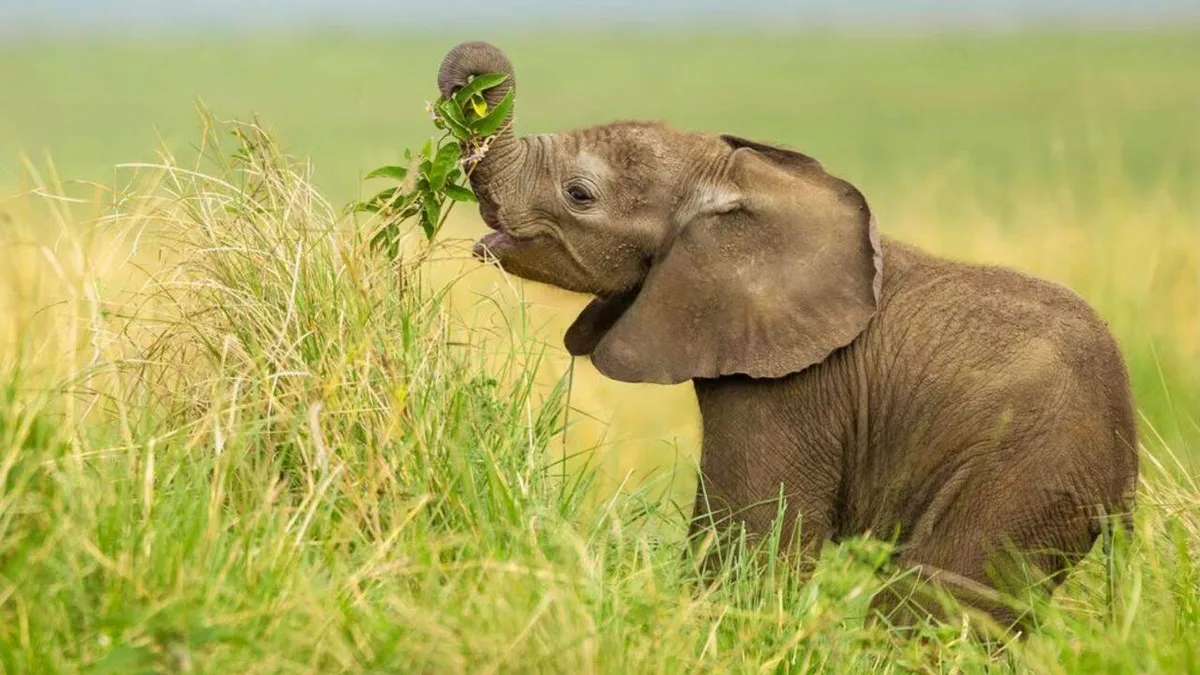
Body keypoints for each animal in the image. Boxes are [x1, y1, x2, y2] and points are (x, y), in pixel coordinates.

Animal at [436, 41, 1139, 632]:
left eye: (580, 195)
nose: (466, 82)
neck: (736, 185)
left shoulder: (794, 390)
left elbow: (752, 544)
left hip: (1025, 472)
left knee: (931, 599)